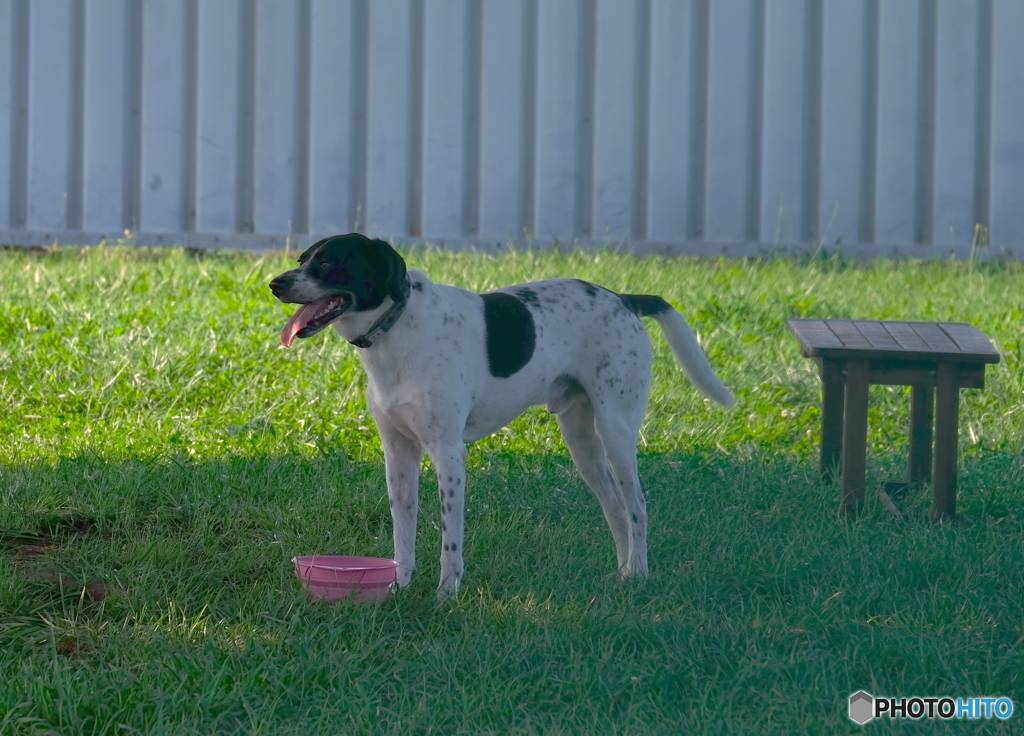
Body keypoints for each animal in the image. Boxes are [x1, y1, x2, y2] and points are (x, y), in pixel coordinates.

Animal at [270, 233, 737, 597]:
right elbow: (403, 537)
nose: (275, 283)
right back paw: (623, 574)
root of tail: (623, 300)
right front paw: (398, 588)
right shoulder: (398, 454)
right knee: (617, 511)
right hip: (583, 444)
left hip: (616, 432)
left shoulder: (448, 454)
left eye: (328, 262)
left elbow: (450, 542)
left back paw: (639, 574)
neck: (396, 330)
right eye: (302, 259)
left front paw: (446, 595)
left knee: (637, 507)